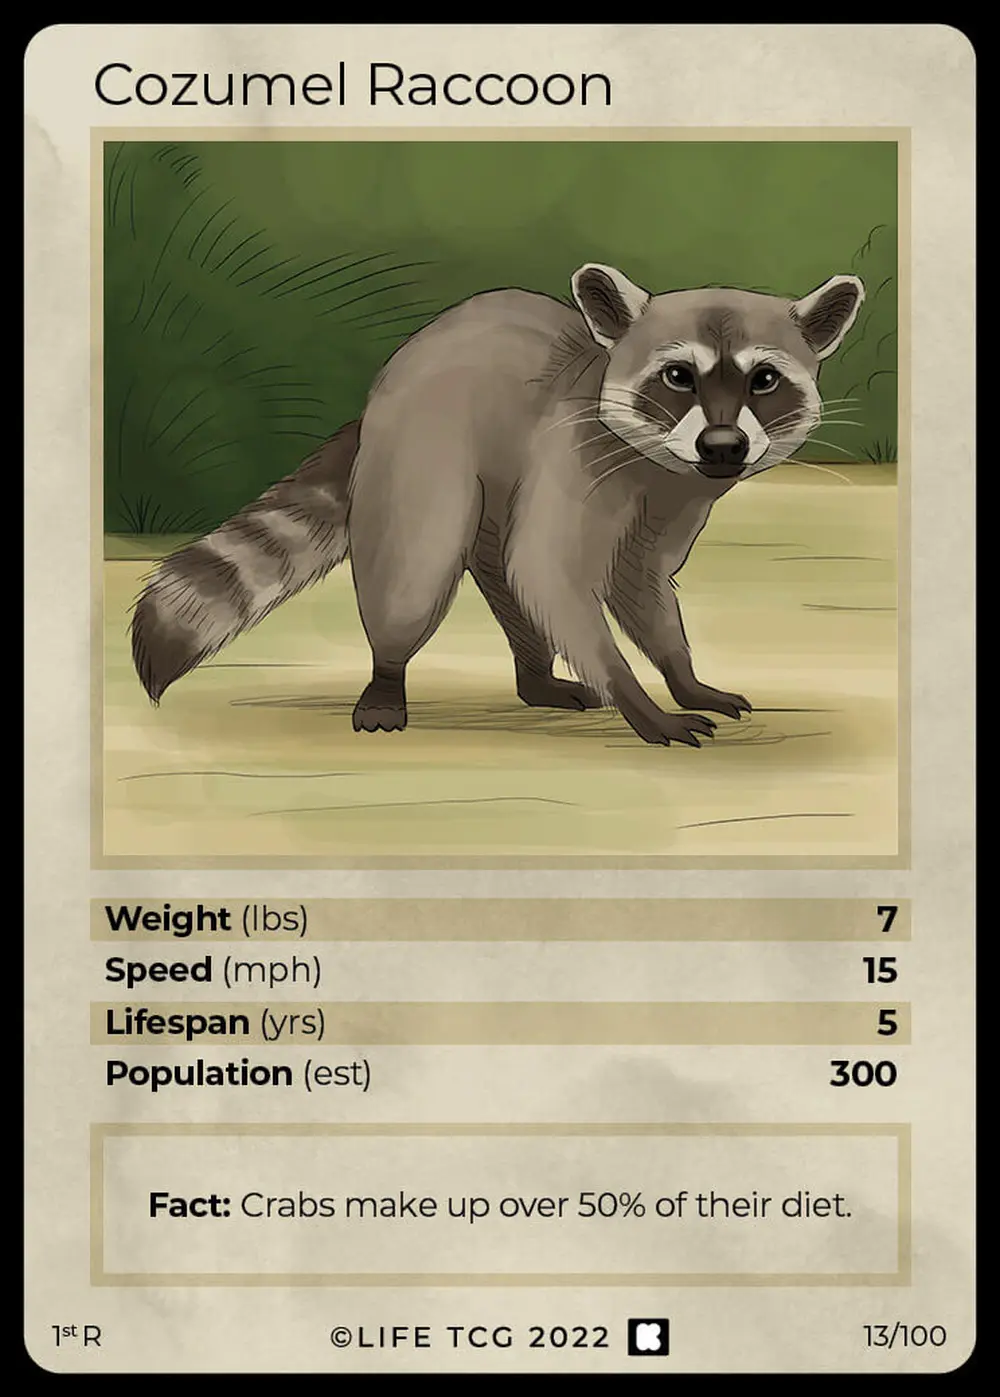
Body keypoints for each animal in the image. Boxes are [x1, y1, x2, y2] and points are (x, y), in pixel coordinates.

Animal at [130, 264, 864, 746]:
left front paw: (681, 674)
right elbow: (552, 574)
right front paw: (633, 695)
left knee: (501, 571)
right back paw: (388, 674)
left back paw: (536, 675)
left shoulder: (677, 493)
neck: (661, 464)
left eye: (763, 380)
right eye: (679, 376)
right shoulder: (576, 454)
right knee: (417, 573)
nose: (723, 446)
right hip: (422, 450)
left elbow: (639, 581)